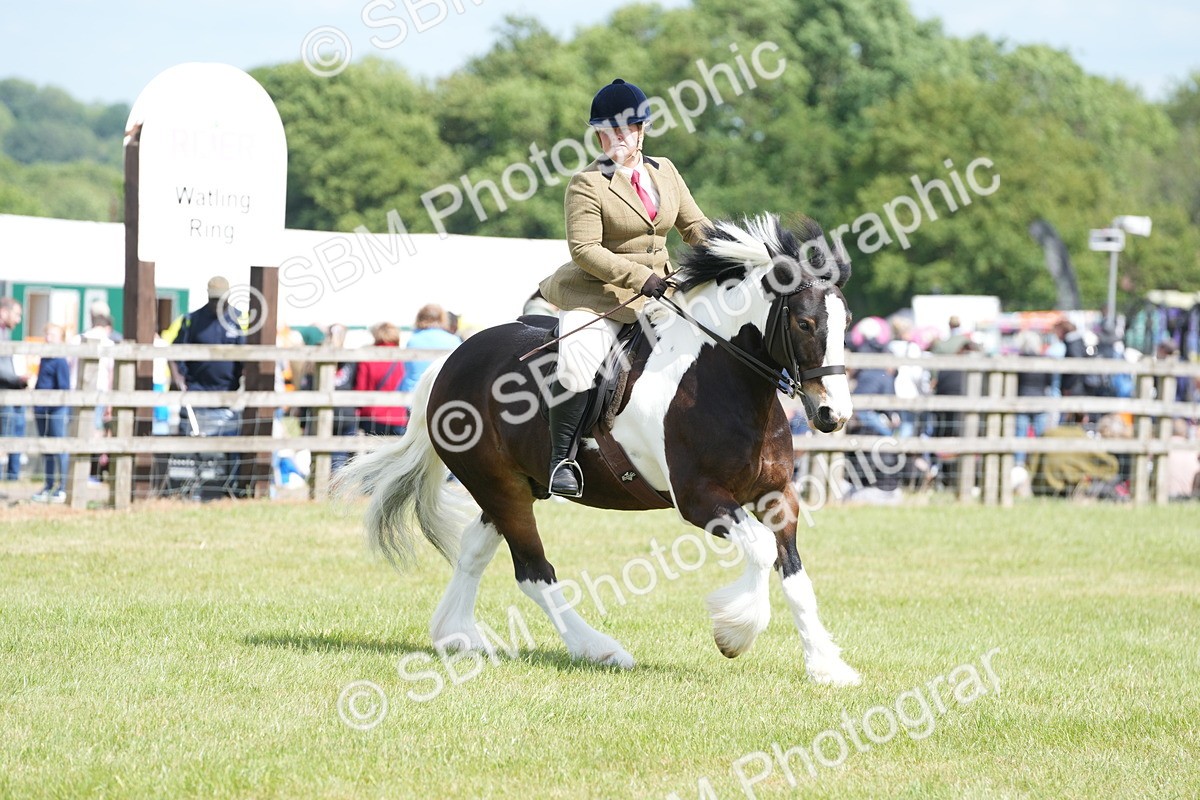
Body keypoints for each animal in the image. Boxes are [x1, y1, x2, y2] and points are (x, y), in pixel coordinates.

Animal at [336, 214, 861, 686]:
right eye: (805, 323)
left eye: (846, 324)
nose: (831, 414)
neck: (721, 378)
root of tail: (451, 360)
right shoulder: (700, 499)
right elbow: (758, 548)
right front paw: (735, 633)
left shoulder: (778, 497)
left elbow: (794, 577)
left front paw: (826, 667)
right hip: (501, 487)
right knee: (534, 571)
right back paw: (598, 649)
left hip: (509, 486)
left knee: (474, 551)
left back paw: (457, 636)